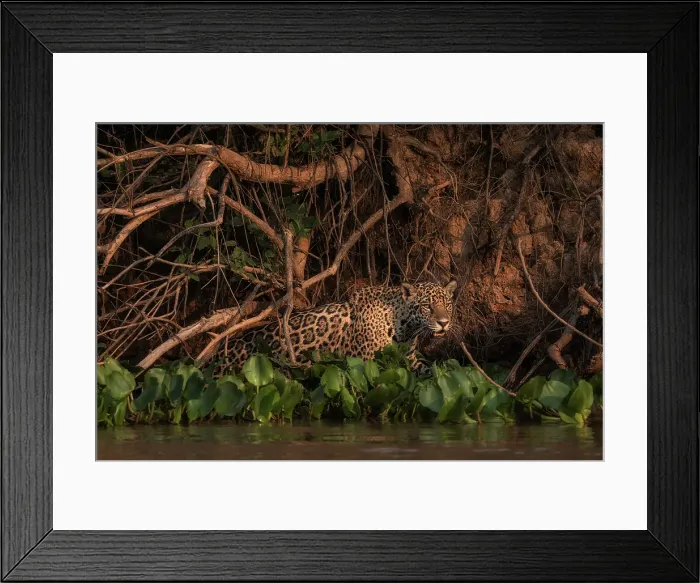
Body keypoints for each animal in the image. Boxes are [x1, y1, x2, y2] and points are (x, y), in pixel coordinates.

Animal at [217, 280, 458, 375]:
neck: (405, 328)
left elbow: (431, 372)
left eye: (446, 305)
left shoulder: (411, 361)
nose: (444, 322)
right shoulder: (365, 363)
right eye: (427, 306)